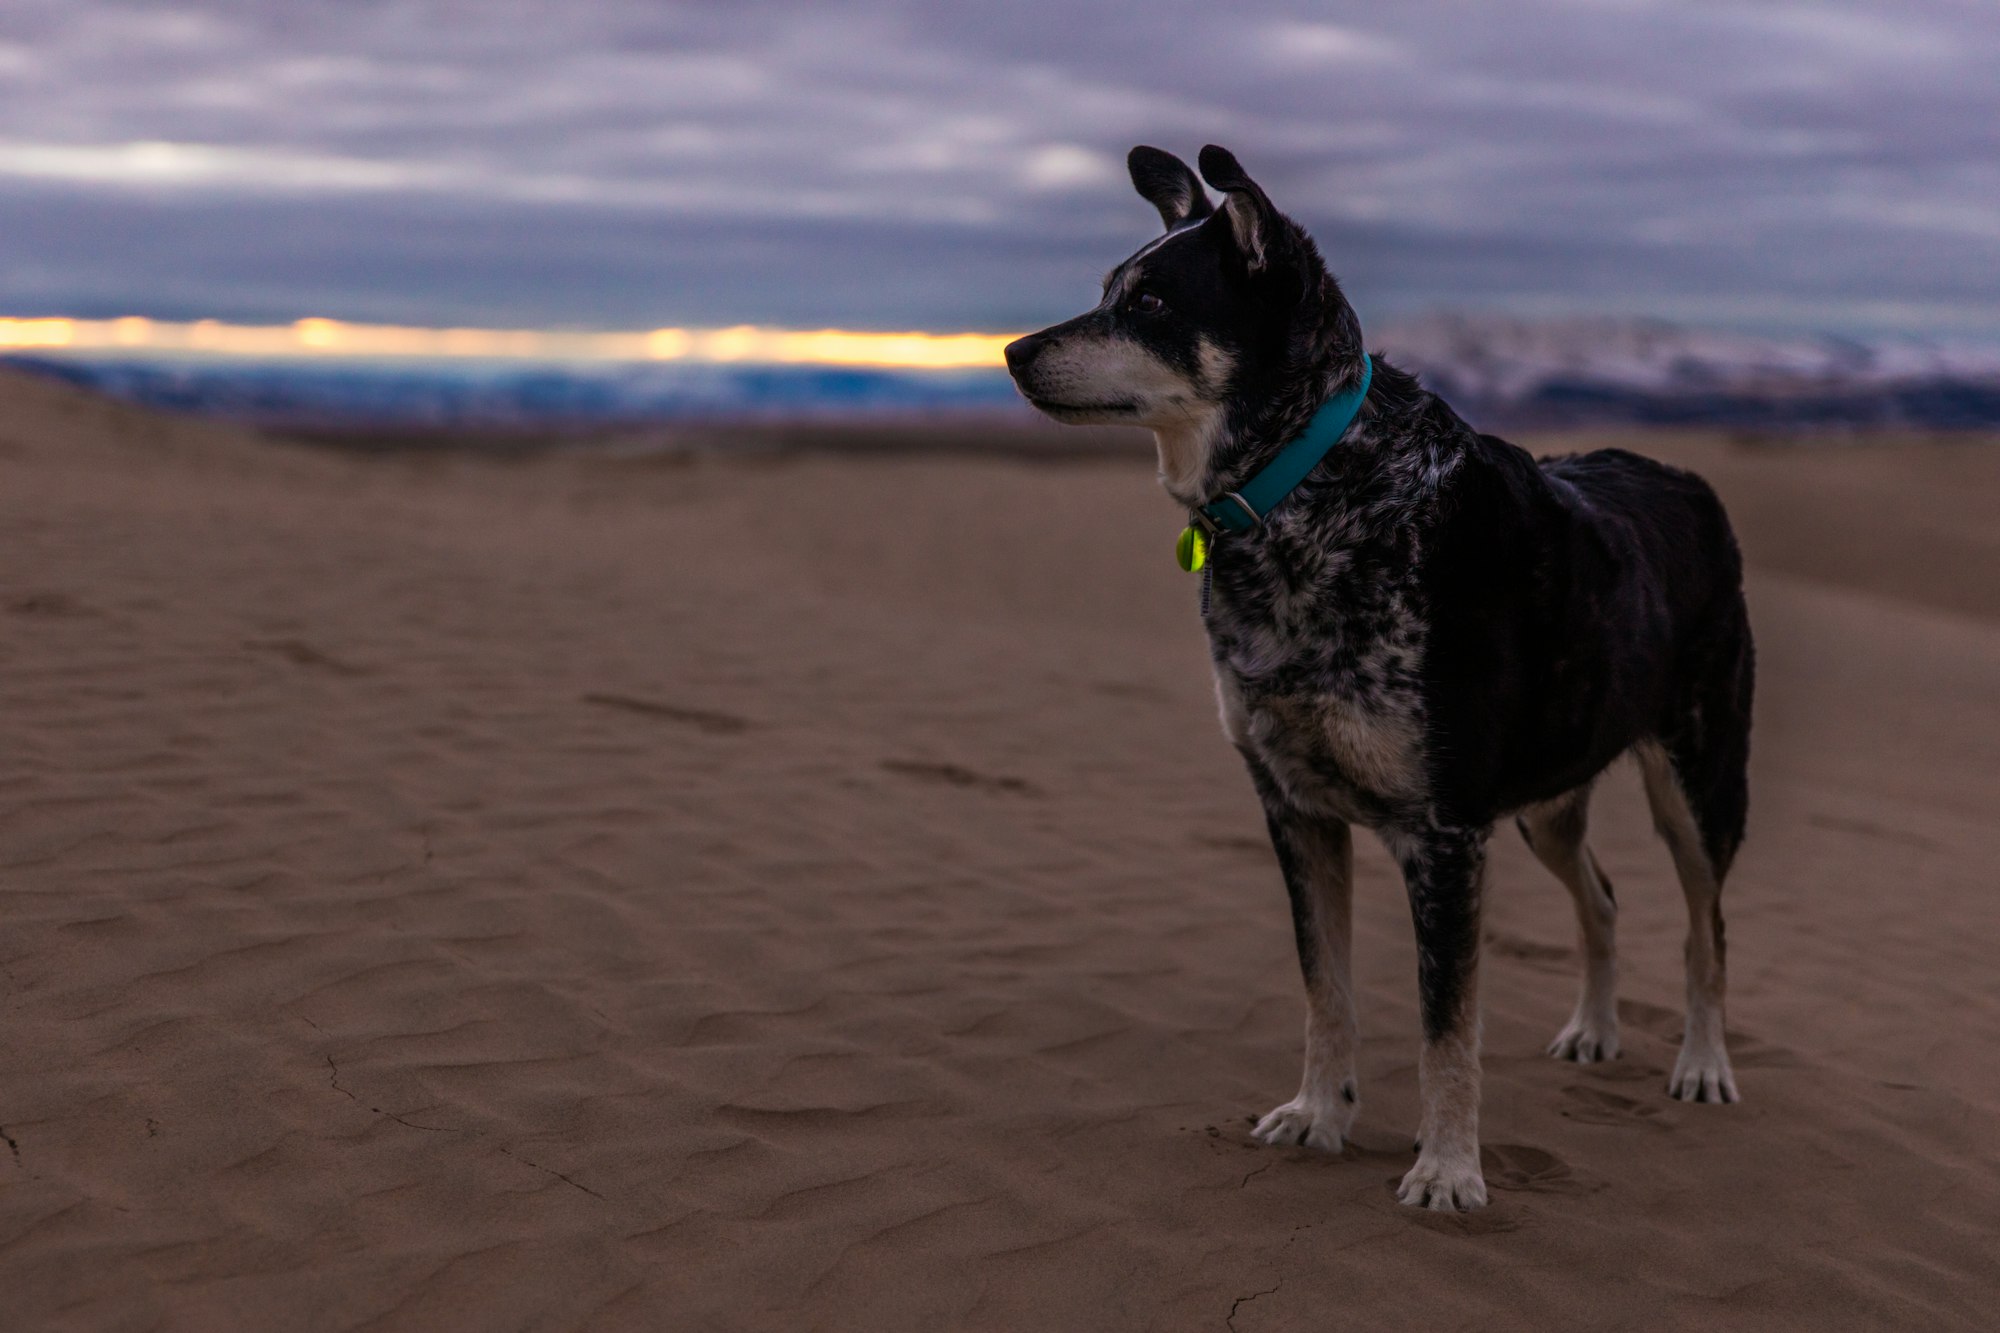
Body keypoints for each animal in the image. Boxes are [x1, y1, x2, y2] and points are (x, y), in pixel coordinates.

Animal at [1000, 143, 1752, 1200]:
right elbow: (1327, 987)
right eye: (1106, 289)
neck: (1305, 490)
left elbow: (1448, 1026)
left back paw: (1703, 1064)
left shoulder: (1445, 834)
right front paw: (1319, 1113)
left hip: (1698, 778)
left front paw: (1447, 1169)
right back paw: (1595, 1030)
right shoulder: (1295, 807)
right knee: (1601, 896)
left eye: (1150, 303)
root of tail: (1690, 484)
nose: (1013, 352)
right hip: (1547, 799)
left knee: (1706, 925)